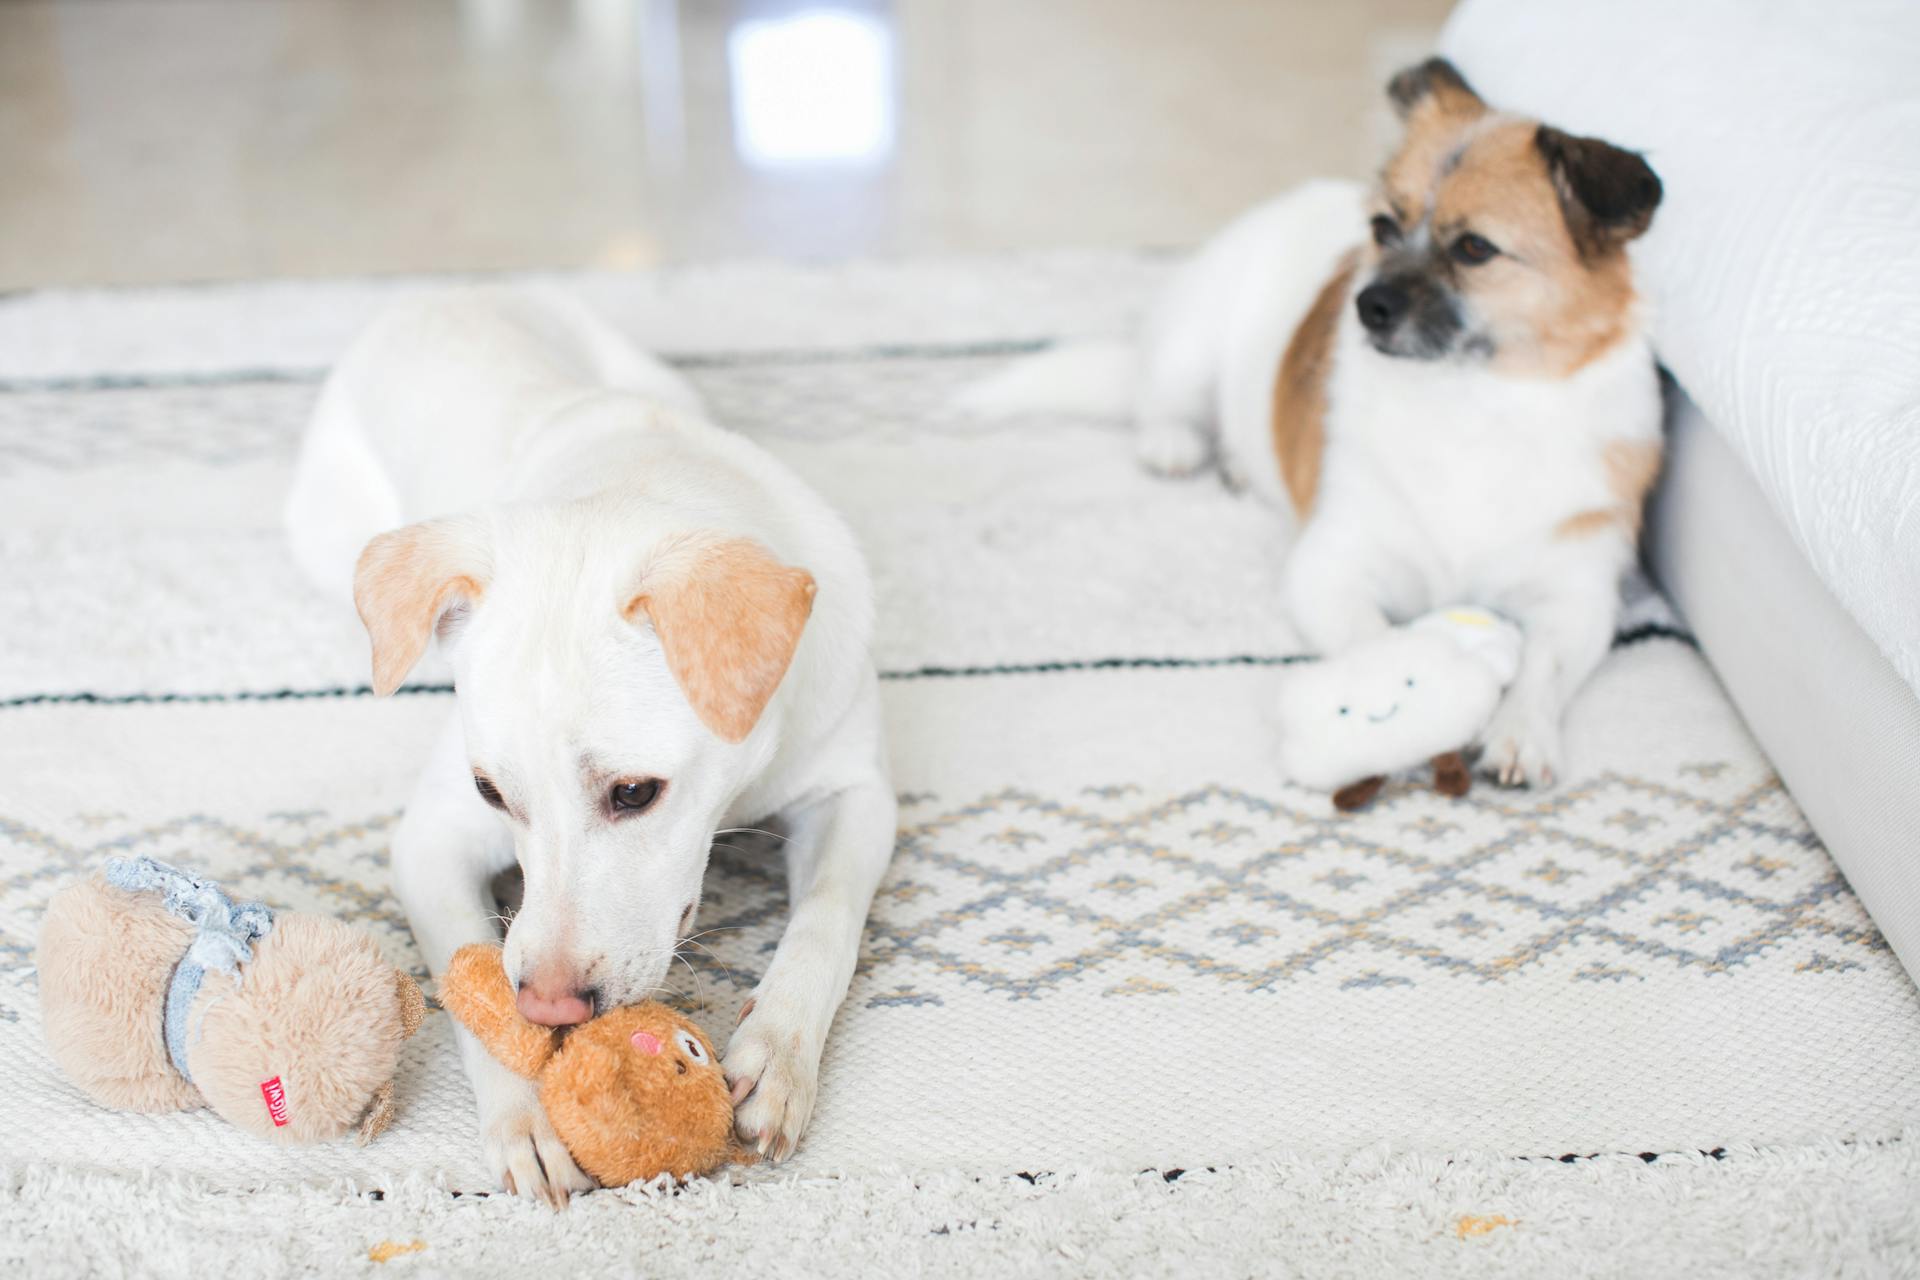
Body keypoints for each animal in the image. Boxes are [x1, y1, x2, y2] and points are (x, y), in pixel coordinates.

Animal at [280, 287, 894, 1205]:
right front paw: (526, 1116)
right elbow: (470, 979)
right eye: (492, 793)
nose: (553, 1008)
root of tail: (443, 295)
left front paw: (776, 1055)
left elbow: (826, 918)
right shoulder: (430, 839)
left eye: (635, 793)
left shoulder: (855, 791)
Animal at [967, 62, 1674, 790]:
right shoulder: (1331, 568)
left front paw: (1520, 732)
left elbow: (1544, 667)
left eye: (1476, 248)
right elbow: (1379, 643)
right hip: (1191, 344)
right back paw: (1176, 444)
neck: (1472, 401)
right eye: (1384, 227)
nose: (1367, 305)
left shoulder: (1580, 600)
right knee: (1159, 399)